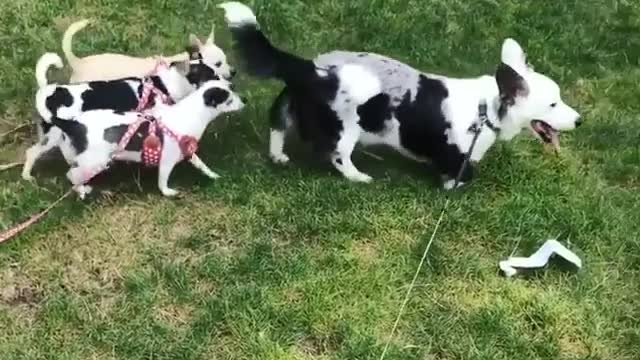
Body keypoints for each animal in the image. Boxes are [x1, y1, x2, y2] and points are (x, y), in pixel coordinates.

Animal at [23, 48, 220, 180]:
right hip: (53, 137)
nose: (226, 80)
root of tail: (51, 93)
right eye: (212, 75)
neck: (165, 84)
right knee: (32, 152)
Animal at [49, 80, 245, 198]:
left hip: (78, 157)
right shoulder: (167, 161)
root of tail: (71, 124)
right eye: (229, 100)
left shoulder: (187, 150)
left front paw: (214, 175)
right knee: (71, 176)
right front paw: (168, 193)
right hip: (96, 162)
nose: (244, 101)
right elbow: (163, 182)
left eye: (232, 88)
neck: (191, 113)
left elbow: (202, 165)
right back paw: (82, 191)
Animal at [219, 2, 580, 188]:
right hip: (346, 130)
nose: (579, 121)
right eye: (552, 104)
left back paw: (279, 156)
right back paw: (360, 177)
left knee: (278, 125)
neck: (486, 109)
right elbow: (462, 174)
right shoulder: (457, 157)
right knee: (337, 156)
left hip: (292, 106)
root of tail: (313, 69)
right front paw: (453, 186)